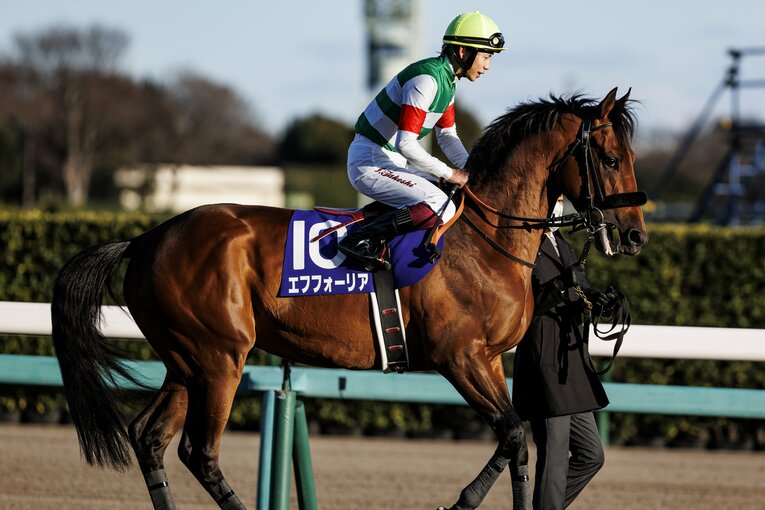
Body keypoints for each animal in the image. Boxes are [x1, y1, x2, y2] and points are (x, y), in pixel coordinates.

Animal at [51, 87, 647, 510]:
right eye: (611, 160)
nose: (637, 234)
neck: (484, 238)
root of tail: (147, 238)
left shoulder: (491, 359)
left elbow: (515, 441)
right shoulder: (460, 357)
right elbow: (514, 434)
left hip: (186, 360)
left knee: (149, 437)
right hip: (219, 358)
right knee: (199, 452)